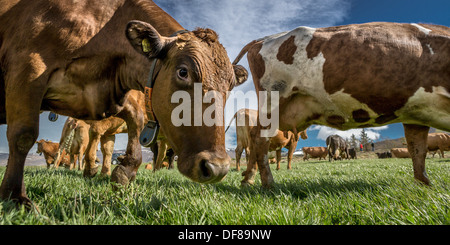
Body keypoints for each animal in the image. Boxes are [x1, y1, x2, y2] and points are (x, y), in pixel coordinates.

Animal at [0, 0, 248, 207]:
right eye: (183, 72)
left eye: (230, 85)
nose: (217, 168)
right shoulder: (27, 68)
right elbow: (23, 136)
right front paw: (15, 196)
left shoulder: (113, 94)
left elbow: (134, 123)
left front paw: (124, 170)